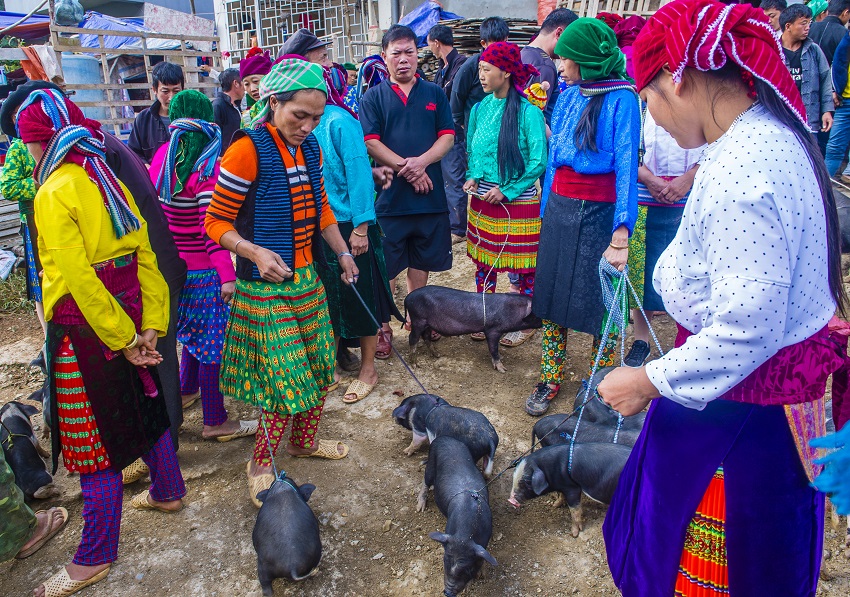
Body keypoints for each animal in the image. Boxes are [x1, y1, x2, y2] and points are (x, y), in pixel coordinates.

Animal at [402, 286, 536, 372]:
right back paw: (415, 365)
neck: (511, 310)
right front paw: (503, 369)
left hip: (427, 324)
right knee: (412, 338)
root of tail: (407, 298)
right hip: (418, 319)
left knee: (426, 336)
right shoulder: (492, 330)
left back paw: (438, 355)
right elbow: (493, 348)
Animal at [416, 434, 496, 596]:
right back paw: (420, 507)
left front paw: (481, 575)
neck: (464, 536)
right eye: (445, 562)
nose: (447, 592)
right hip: (430, 465)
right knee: (426, 481)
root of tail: (443, 437)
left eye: (468, 569)